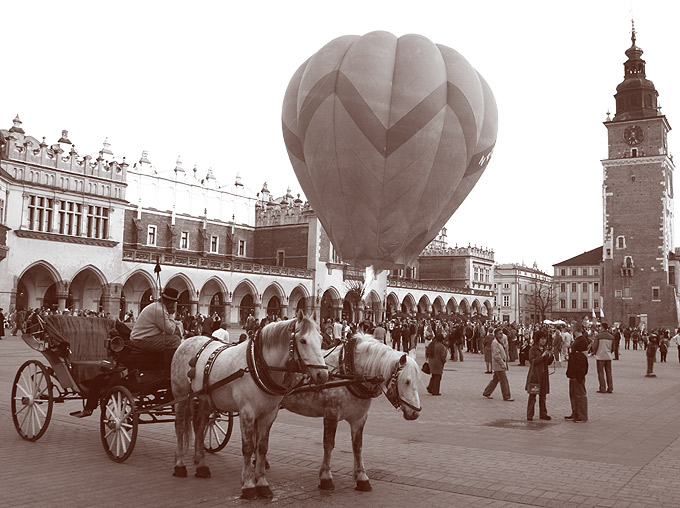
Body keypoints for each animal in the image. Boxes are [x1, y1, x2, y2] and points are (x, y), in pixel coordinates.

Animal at [171, 312, 328, 498]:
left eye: (321, 339)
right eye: (303, 340)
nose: (323, 375)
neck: (258, 366)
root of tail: (188, 340)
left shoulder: (269, 414)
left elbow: (262, 447)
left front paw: (262, 483)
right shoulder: (247, 412)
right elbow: (247, 447)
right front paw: (247, 485)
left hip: (205, 399)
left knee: (199, 425)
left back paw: (201, 466)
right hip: (180, 397)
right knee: (180, 427)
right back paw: (180, 465)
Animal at [280, 334, 420, 492]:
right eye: (407, 381)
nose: (415, 413)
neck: (349, 373)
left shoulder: (359, 418)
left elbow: (357, 446)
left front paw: (361, 478)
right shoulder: (331, 415)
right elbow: (328, 445)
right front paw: (326, 477)